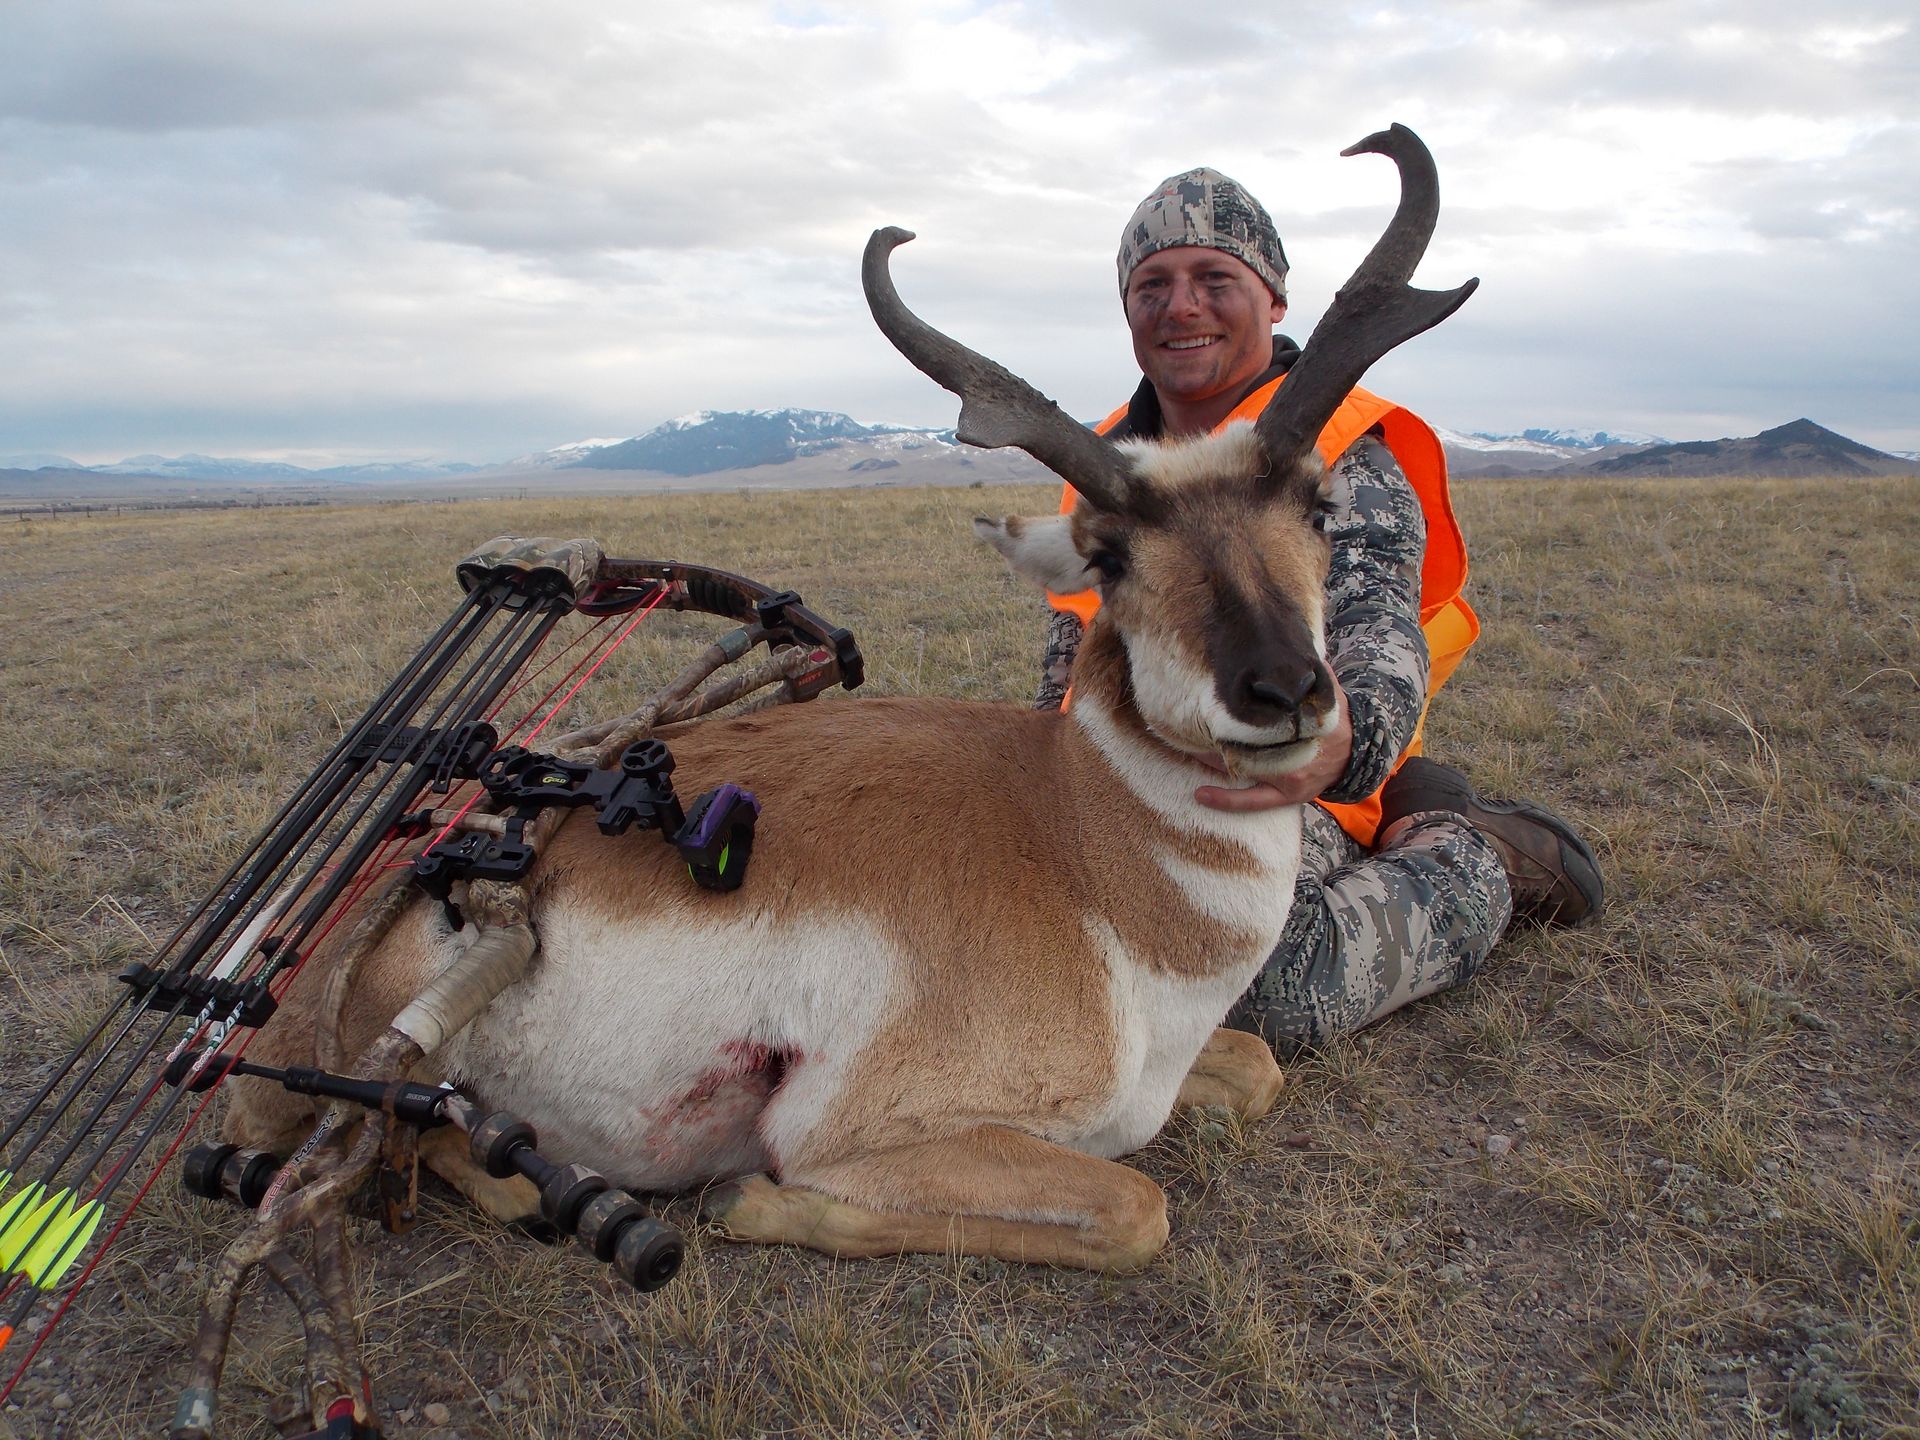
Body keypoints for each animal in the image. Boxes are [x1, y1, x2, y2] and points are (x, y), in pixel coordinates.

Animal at [224, 124, 1474, 1273]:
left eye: (1320, 505)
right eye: (1109, 553)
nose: (1285, 688)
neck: (1081, 843)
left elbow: (1256, 1069)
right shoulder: (872, 1132)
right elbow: (1134, 1207)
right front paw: (749, 1198)